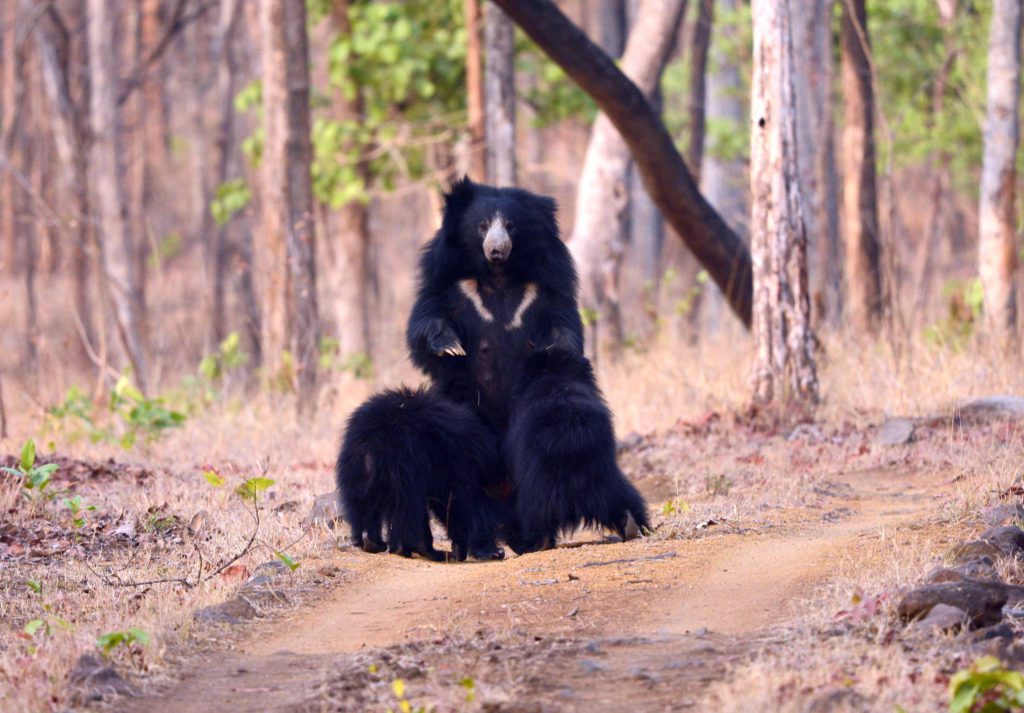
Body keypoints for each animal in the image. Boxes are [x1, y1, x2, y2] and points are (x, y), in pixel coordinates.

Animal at [337, 387, 505, 561]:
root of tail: (374, 439)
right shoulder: (455, 465)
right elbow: (460, 502)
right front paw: (489, 551)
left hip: (358, 468)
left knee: (364, 502)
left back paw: (373, 542)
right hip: (405, 463)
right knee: (408, 505)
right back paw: (421, 548)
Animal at [405, 178, 585, 434]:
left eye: (510, 226)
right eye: (483, 225)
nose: (497, 249)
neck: (498, 274)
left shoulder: (546, 284)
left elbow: (562, 321)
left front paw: (559, 350)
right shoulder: (447, 280)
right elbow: (427, 316)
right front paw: (450, 346)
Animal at [505, 348, 647, 553]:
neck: (555, 376)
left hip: (539, 488)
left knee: (533, 515)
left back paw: (532, 542)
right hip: (605, 478)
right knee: (625, 498)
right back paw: (632, 525)